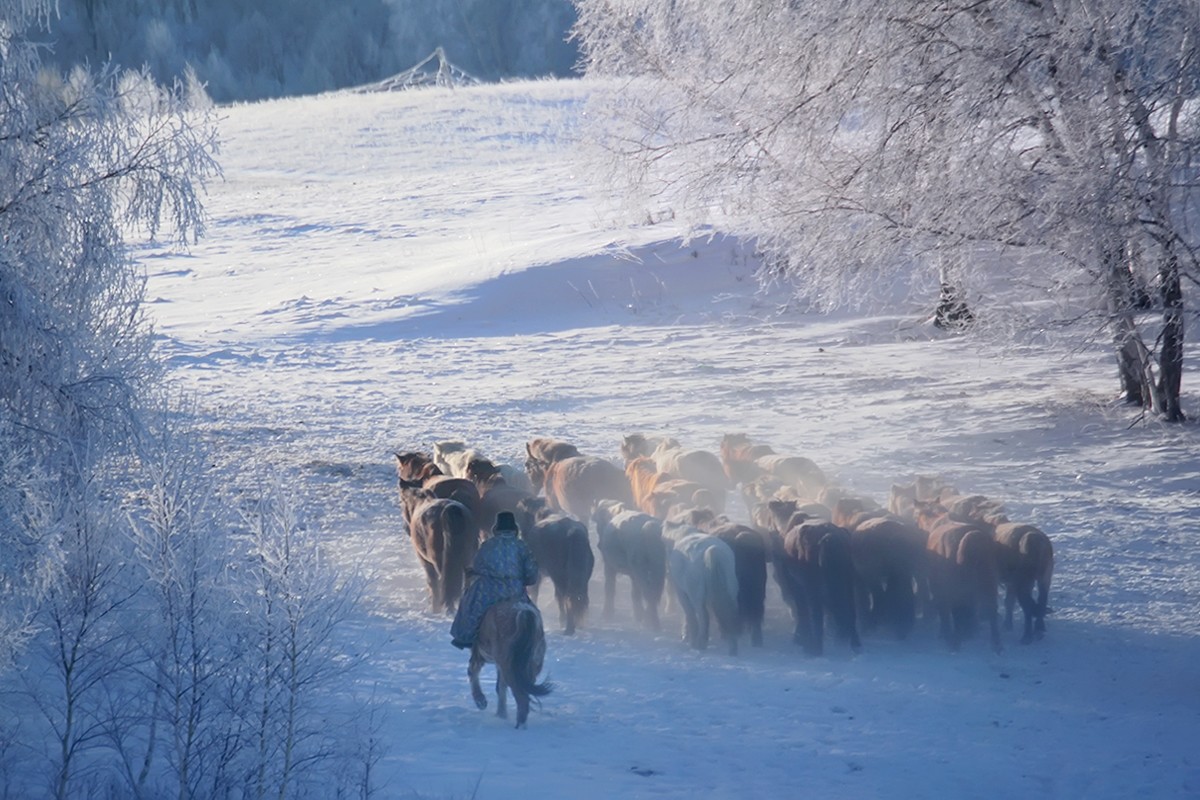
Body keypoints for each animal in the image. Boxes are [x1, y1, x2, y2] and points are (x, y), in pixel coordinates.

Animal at [400, 479, 480, 618]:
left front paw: (435, 608)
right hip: (467, 560)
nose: (406, 528)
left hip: (438, 561)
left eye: (402, 503)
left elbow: (433, 584)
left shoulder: (425, 561)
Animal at [468, 597, 552, 729]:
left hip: (510, 667)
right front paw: (501, 714)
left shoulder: (479, 654)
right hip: (528, 666)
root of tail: (525, 613)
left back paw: (519, 727)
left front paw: (481, 701)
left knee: (522, 698)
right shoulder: (500, 665)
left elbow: (474, 671)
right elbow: (501, 687)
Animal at [513, 496, 592, 633]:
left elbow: (535, 592)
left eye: (520, 512)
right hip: (582, 578)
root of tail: (573, 532)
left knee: (566, 597)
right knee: (579, 597)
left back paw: (568, 626)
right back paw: (578, 624)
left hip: (560, 577)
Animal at [595, 501, 672, 633]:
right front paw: (637, 616)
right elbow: (635, 591)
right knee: (653, 590)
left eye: (598, 526)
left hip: (639, 561)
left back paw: (650, 623)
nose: (599, 545)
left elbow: (609, 587)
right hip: (658, 563)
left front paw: (606, 615)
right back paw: (650, 620)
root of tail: (649, 529)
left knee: (648, 591)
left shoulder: (609, 563)